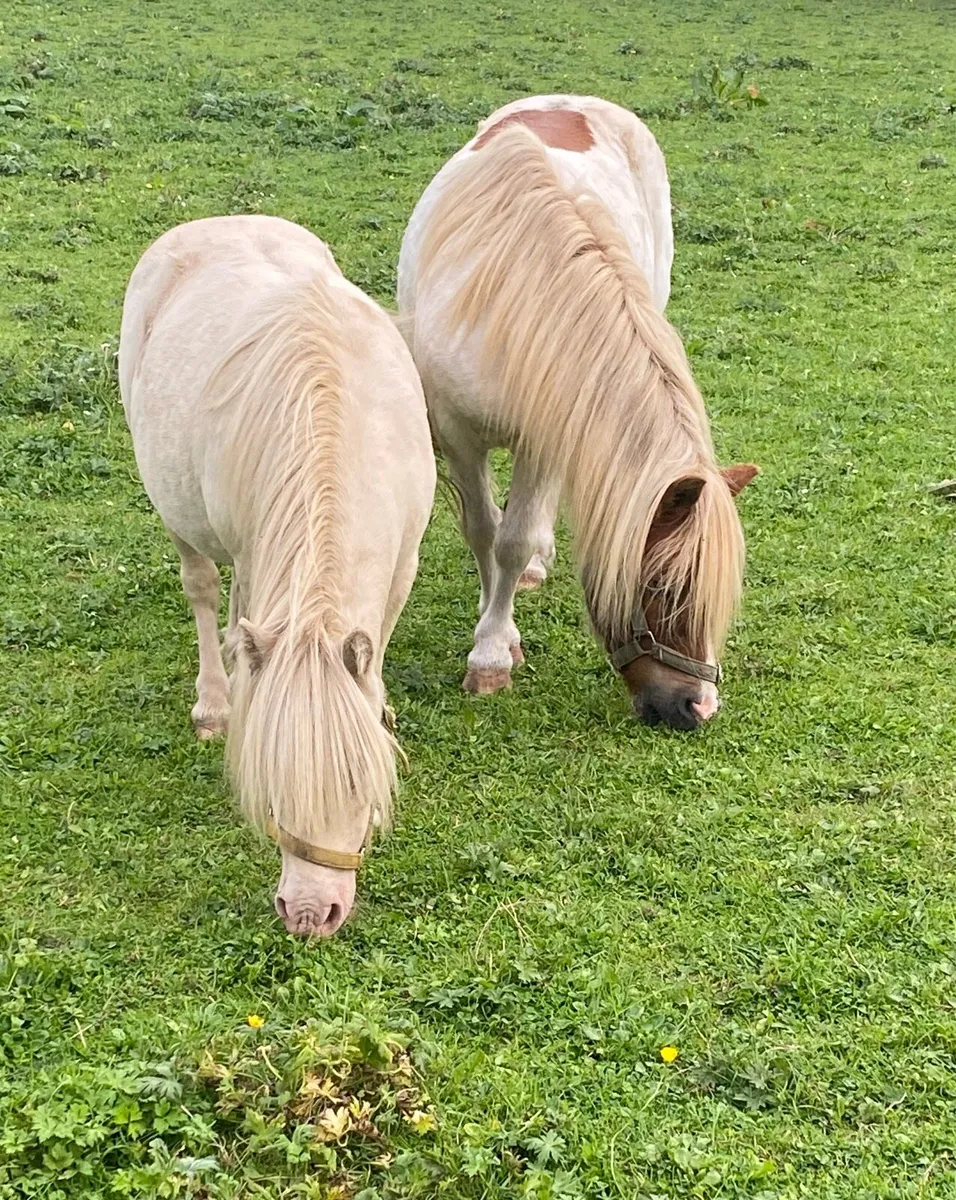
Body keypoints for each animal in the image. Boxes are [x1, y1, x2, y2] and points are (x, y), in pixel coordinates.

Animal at [119, 215, 436, 935]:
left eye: (358, 788)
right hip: (180, 516)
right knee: (207, 591)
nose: (308, 914)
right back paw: (216, 698)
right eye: (273, 791)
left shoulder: (402, 564)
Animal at [397, 94, 757, 731]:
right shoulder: (458, 435)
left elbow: (514, 538)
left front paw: (499, 635)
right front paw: (493, 648)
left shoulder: (547, 434)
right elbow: (486, 532)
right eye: (664, 587)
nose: (698, 706)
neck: (516, 303)